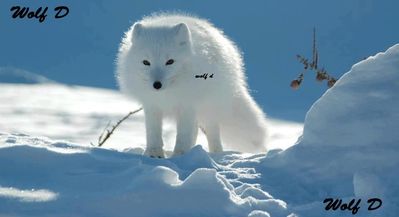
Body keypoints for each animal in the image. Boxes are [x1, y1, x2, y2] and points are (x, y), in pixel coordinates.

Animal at [119, 12, 268, 157]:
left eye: (170, 61)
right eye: (146, 62)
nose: (156, 85)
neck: (167, 94)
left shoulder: (187, 105)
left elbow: (183, 134)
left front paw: (180, 156)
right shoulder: (152, 105)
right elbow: (153, 132)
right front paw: (154, 154)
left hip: (209, 107)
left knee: (212, 131)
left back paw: (216, 153)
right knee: (196, 130)